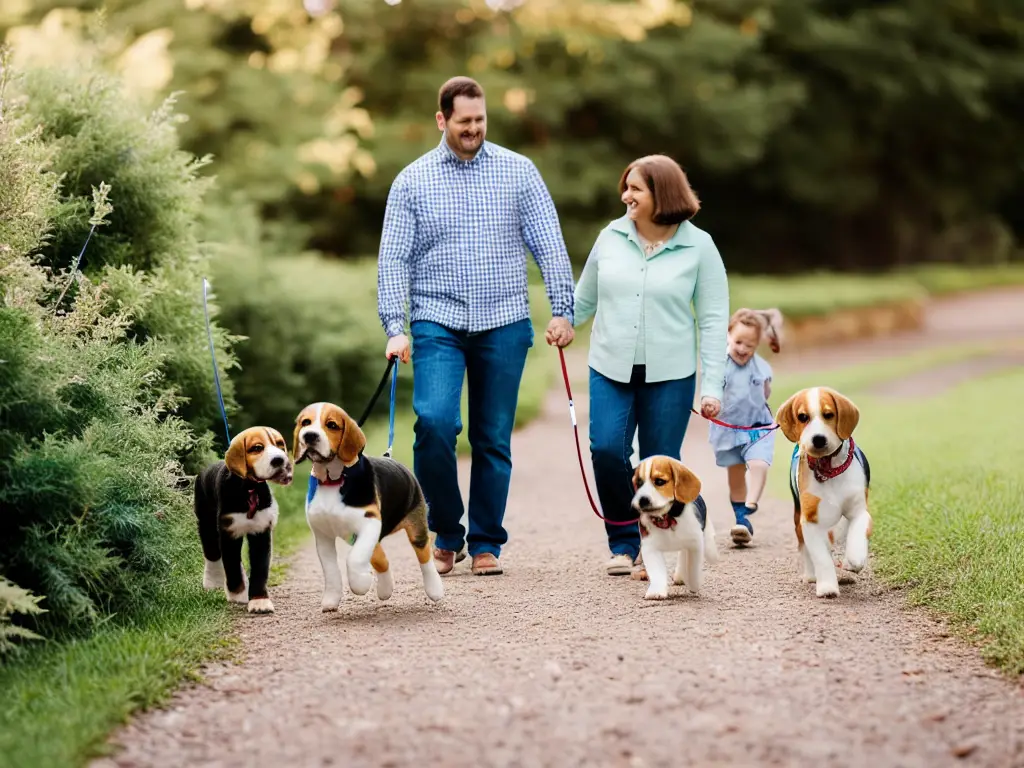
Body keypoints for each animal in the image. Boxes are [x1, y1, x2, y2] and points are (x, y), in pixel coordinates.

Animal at [193, 430, 294, 618]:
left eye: (280, 444)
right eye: (257, 448)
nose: (279, 460)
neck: (249, 487)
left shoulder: (261, 531)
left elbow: (260, 568)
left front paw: (260, 601)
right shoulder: (229, 530)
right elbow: (231, 564)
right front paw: (237, 594)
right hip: (206, 523)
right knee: (212, 554)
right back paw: (212, 580)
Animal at [292, 403, 444, 614]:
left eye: (331, 425)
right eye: (305, 422)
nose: (309, 436)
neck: (334, 479)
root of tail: (391, 458)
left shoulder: (369, 522)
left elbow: (353, 560)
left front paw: (361, 583)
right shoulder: (323, 536)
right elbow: (331, 571)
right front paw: (331, 599)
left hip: (415, 526)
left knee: (424, 556)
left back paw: (435, 589)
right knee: (381, 559)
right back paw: (385, 590)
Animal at [622, 456, 720, 602]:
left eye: (659, 481)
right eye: (639, 483)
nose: (642, 499)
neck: (667, 519)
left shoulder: (695, 545)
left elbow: (693, 568)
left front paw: (694, 584)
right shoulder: (650, 547)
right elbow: (656, 571)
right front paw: (656, 591)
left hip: (705, 541)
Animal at [774, 387, 872, 598]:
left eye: (828, 414)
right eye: (803, 417)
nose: (818, 438)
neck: (828, 469)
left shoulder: (859, 510)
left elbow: (857, 532)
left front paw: (855, 559)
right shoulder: (810, 520)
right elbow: (820, 557)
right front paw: (827, 586)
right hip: (798, 519)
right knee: (807, 547)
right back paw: (811, 575)